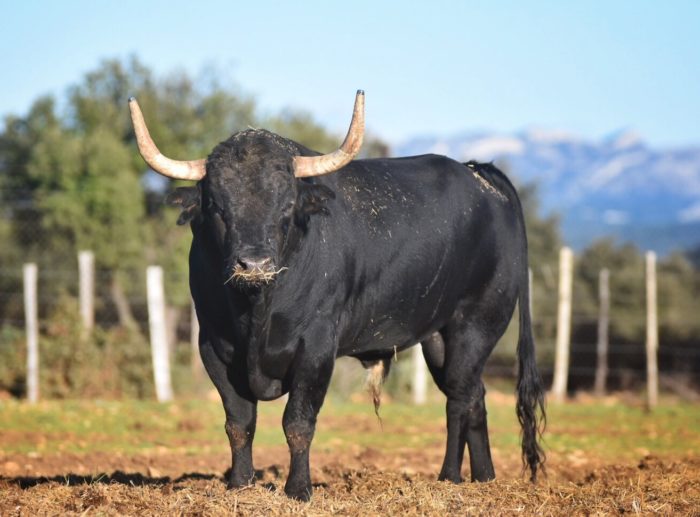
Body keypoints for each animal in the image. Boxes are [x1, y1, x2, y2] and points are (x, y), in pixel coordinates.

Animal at [131, 92, 548, 500]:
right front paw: (240, 485)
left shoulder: (316, 346)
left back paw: (449, 479)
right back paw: (485, 480)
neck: (257, 312)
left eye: (287, 206)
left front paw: (298, 490)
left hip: (476, 324)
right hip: (439, 337)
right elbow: (239, 422)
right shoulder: (214, 346)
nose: (254, 264)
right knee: (474, 396)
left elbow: (298, 422)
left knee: (460, 400)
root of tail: (478, 173)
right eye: (217, 207)